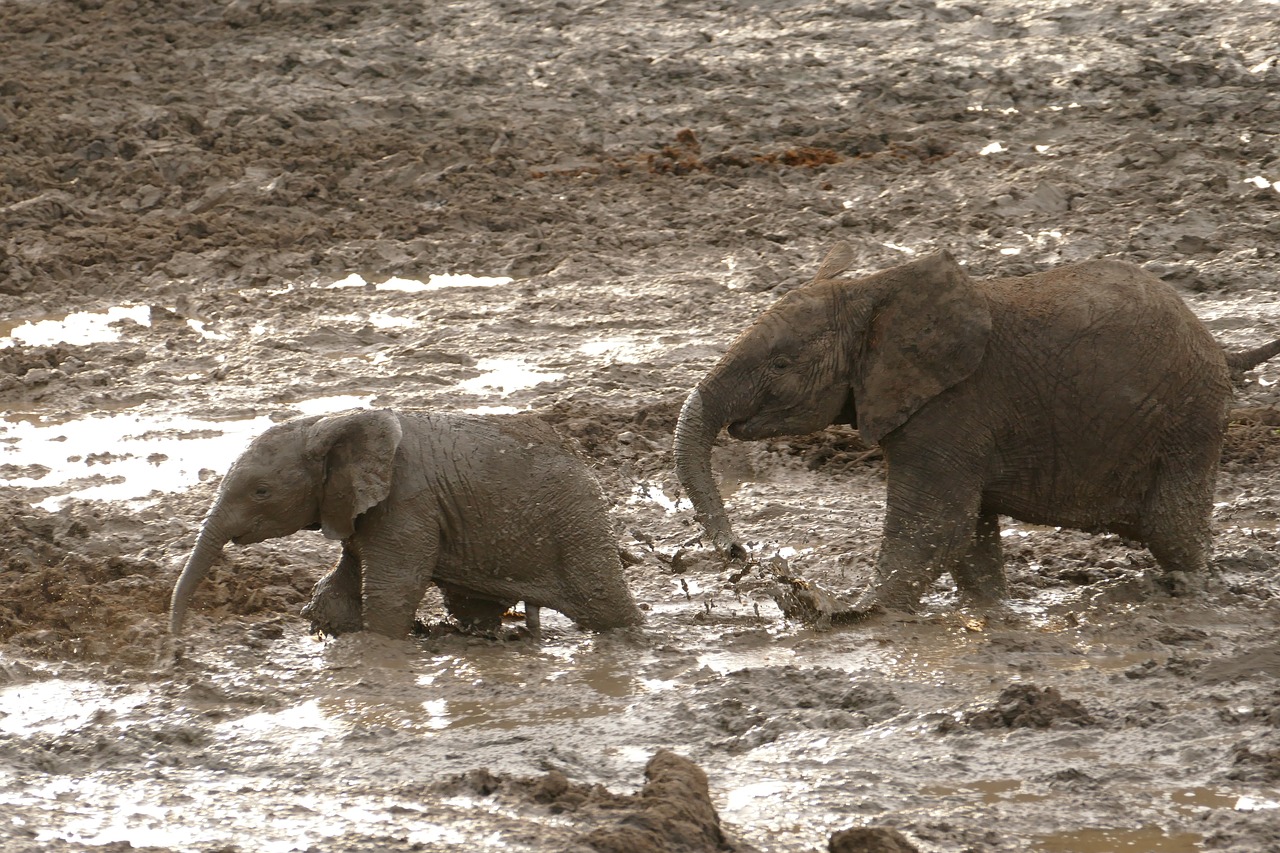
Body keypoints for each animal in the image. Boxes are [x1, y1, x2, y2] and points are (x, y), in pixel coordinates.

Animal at [170, 407, 645, 637]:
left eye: (261, 492)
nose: (176, 652)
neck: (328, 423)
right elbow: (336, 593)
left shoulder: (406, 504)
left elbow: (392, 591)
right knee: (471, 606)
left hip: (576, 519)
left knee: (605, 604)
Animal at [675, 242, 1280, 614]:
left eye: (780, 365)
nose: (739, 554)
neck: (871, 291)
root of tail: (1221, 352)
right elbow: (969, 539)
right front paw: (993, 613)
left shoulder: (953, 407)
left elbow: (934, 528)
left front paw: (850, 616)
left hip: (1188, 421)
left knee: (1174, 530)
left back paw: (1193, 594)